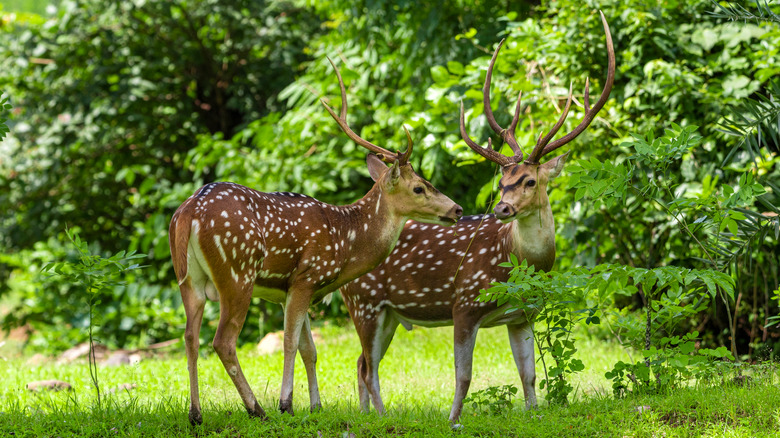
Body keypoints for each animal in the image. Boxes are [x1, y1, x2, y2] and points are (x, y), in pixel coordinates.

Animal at [169, 58, 464, 424]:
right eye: (419, 187)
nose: (457, 209)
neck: (346, 242)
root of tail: (189, 212)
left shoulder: (291, 289)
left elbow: (309, 348)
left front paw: (315, 405)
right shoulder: (306, 276)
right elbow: (290, 342)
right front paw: (286, 404)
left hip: (188, 279)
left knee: (190, 336)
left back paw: (195, 414)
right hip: (237, 273)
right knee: (223, 340)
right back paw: (257, 409)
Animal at [342, 12, 616, 422]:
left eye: (530, 180)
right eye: (501, 182)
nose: (502, 208)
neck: (515, 260)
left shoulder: (523, 314)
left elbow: (529, 373)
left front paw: (534, 414)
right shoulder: (465, 303)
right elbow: (464, 375)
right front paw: (453, 419)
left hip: (387, 312)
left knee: (362, 363)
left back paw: (367, 416)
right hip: (364, 301)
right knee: (367, 367)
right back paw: (382, 416)